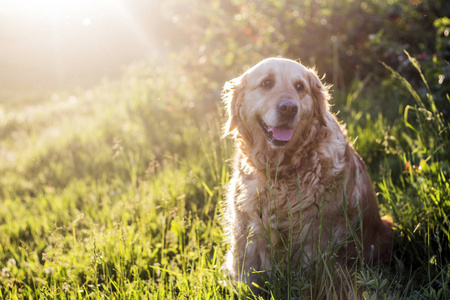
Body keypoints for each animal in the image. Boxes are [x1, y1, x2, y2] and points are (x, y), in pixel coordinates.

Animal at [222, 58, 394, 288]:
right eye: (267, 83)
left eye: (300, 87)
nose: (288, 108)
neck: (279, 170)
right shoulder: (247, 231)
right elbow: (246, 277)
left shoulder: (313, 240)